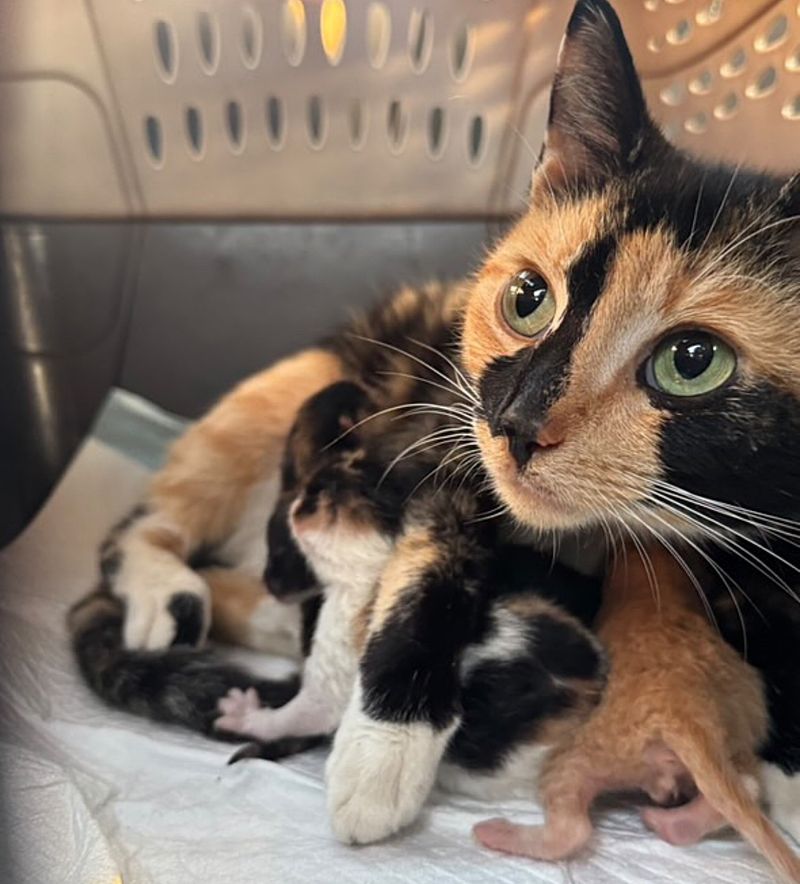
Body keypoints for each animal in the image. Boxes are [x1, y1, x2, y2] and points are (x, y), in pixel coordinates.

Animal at [472, 544, 800, 884]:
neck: (658, 586)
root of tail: (687, 716)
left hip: (579, 756)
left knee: (571, 829)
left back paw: (495, 832)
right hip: (739, 731)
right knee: (748, 784)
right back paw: (672, 824)